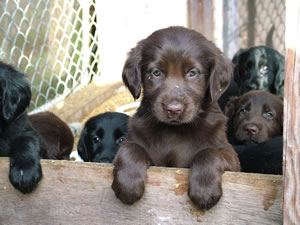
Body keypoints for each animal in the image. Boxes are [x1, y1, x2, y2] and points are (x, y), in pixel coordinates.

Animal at [111, 26, 240, 211]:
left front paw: (205, 189)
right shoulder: (132, 141)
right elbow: (129, 149)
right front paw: (128, 185)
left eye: (192, 73)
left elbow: (209, 152)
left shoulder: (232, 158)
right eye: (156, 72)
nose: (174, 109)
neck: (175, 130)